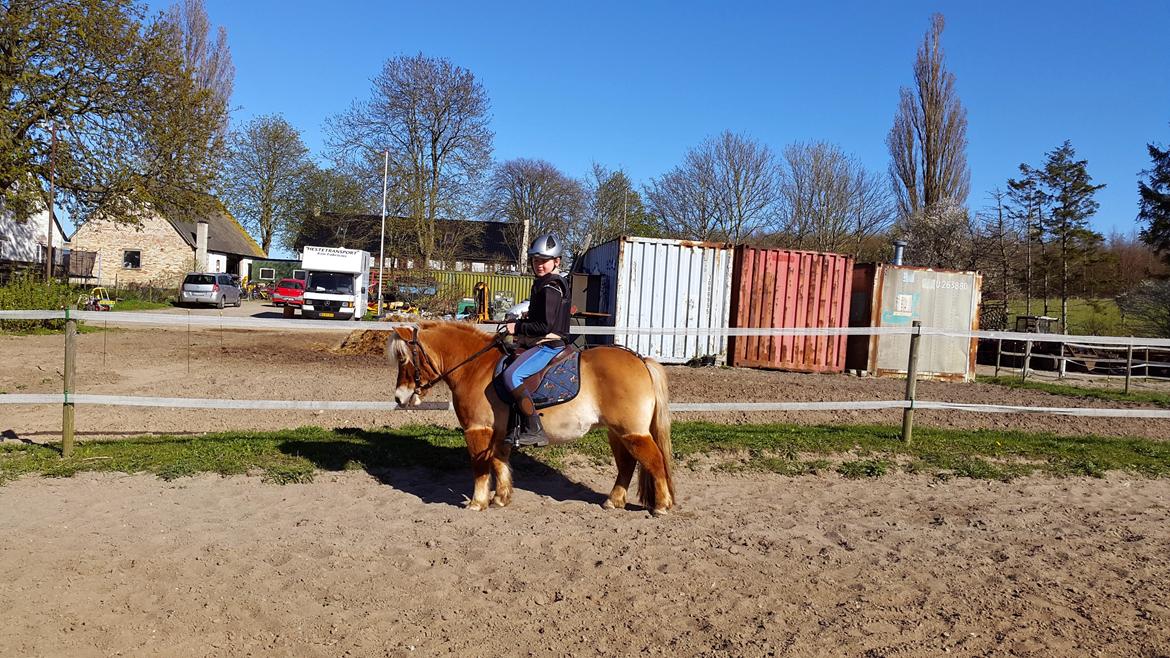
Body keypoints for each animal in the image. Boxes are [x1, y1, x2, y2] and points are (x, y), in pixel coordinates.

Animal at [386, 320, 678, 515]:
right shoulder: (500, 433)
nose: (399, 398)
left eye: (404, 359)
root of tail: (639, 359)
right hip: (617, 432)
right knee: (627, 464)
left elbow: (480, 468)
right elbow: (499, 463)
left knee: (654, 460)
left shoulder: (477, 430)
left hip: (632, 432)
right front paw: (501, 498)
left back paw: (662, 505)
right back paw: (614, 500)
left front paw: (477, 502)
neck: (475, 368)